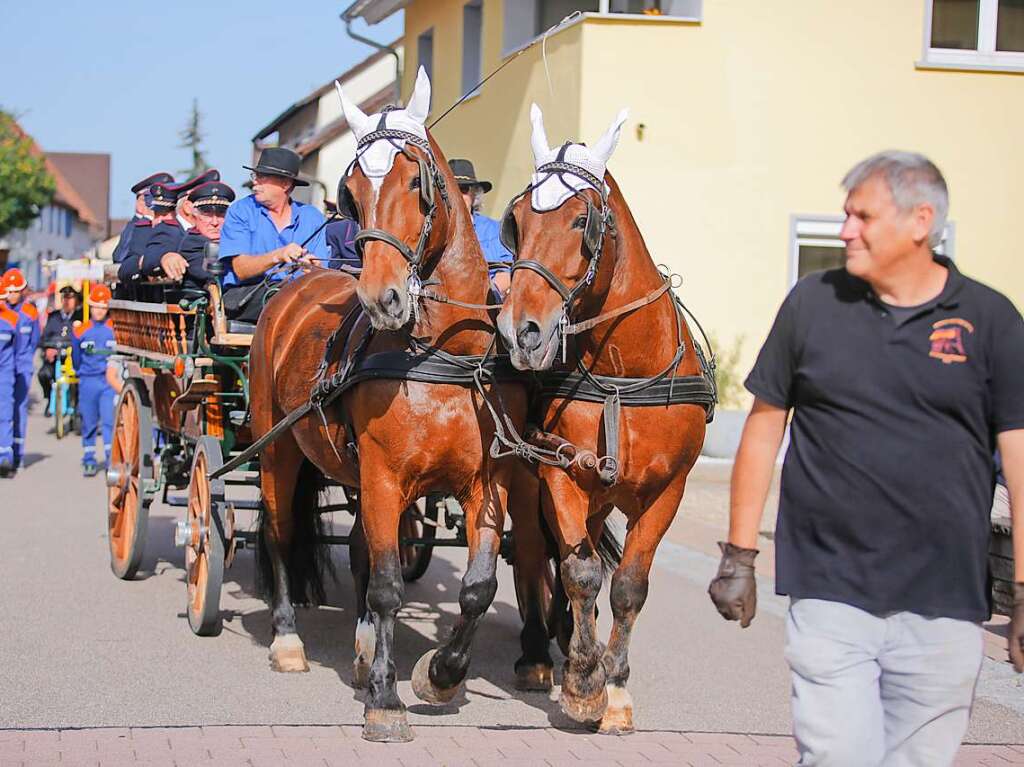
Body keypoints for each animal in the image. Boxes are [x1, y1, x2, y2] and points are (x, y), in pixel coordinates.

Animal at [245, 71, 552, 741]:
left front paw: (440, 675)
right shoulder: (385, 476)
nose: (380, 297)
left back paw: (363, 650)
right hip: (278, 450)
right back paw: (288, 641)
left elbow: (478, 587)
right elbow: (388, 586)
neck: (443, 358)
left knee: (360, 547)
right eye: (352, 192)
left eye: (416, 182)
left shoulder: (486, 482)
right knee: (280, 534)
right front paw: (385, 700)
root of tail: (295, 284)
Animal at [495, 104, 712, 733]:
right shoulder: (559, 474)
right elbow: (580, 573)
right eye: (517, 220)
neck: (624, 371)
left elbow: (628, 585)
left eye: (581, 221)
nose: (520, 329)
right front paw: (584, 684)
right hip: (531, 484)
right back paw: (539, 651)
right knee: (535, 554)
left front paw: (613, 683)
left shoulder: (668, 490)